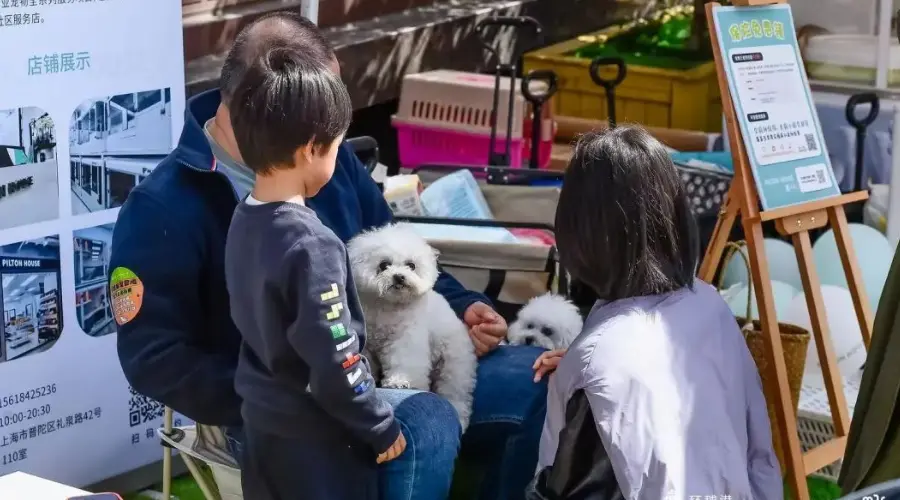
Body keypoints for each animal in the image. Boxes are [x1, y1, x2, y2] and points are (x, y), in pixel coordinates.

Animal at [348, 223, 482, 430]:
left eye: (411, 265)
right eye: (384, 265)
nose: (399, 277)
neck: (388, 306)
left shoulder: (406, 339)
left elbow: (404, 361)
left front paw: (400, 382)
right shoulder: (368, 344)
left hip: (455, 367)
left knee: (456, 394)